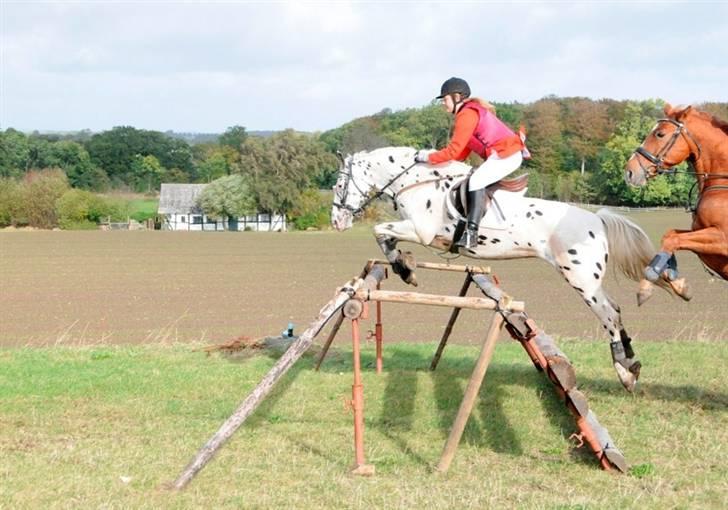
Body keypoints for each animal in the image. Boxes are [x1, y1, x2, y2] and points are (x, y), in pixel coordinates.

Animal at [330, 145, 684, 392]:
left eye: (338, 185)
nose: (336, 222)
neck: (416, 183)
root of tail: (597, 219)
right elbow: (384, 235)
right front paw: (404, 265)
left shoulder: (422, 231)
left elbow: (380, 231)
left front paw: (405, 268)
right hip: (588, 278)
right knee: (616, 309)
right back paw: (631, 364)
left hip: (581, 278)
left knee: (609, 314)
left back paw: (623, 369)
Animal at [624, 103, 728, 282]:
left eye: (660, 134)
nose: (629, 171)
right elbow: (671, 234)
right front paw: (669, 269)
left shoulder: (722, 239)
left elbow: (673, 238)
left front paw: (654, 271)